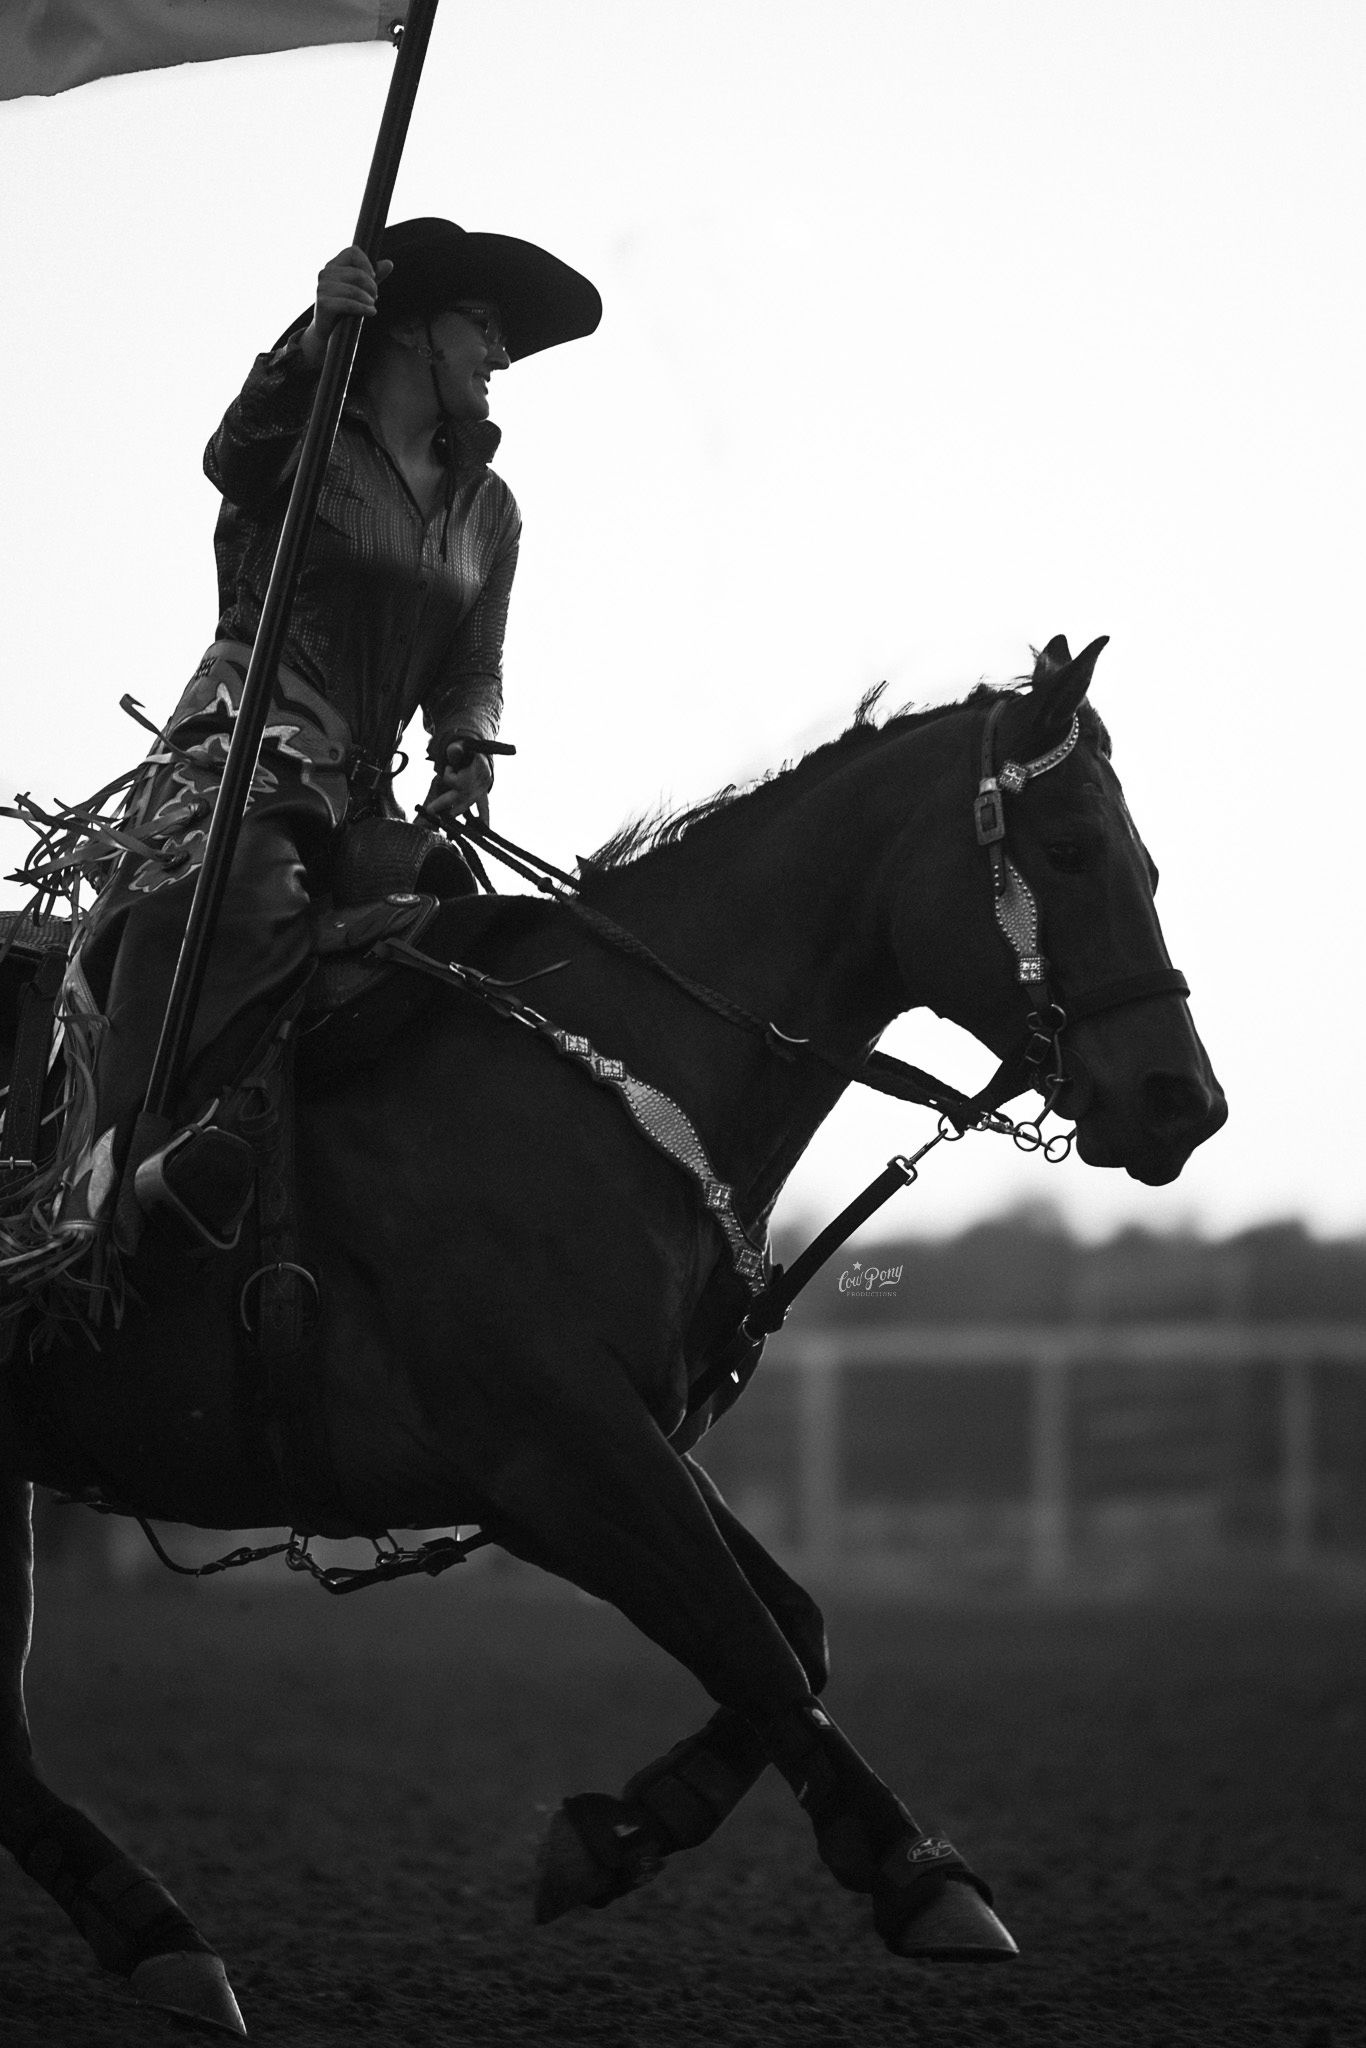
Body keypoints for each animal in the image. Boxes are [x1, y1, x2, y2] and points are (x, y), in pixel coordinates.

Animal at [0, 634, 1225, 2035]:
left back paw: (153, 1930)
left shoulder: (624, 1436)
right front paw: (923, 1873)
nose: (1181, 1099)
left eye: (1145, 862)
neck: (604, 1071)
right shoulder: (552, 1457)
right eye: (1071, 848)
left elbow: (795, 1629)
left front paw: (630, 1824)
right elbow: (752, 1639)